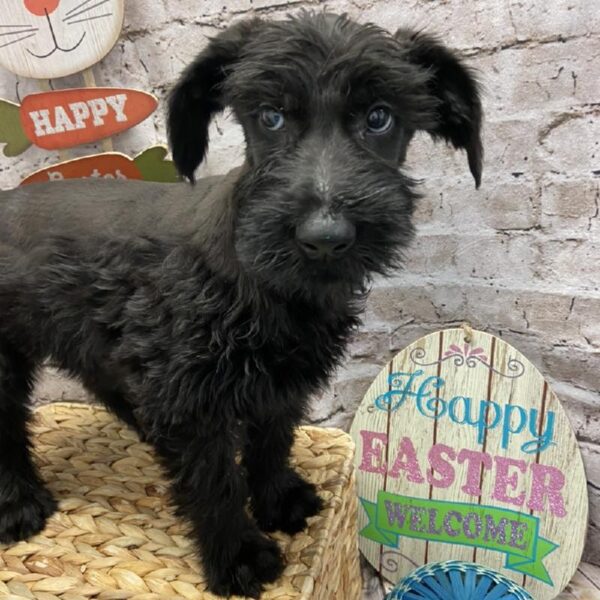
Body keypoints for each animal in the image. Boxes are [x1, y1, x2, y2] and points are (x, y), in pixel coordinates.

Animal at [0, 11, 480, 596]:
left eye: (380, 117)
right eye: (269, 117)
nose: (325, 237)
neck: (269, 286)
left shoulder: (283, 380)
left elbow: (271, 440)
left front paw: (278, 499)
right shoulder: (188, 399)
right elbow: (213, 482)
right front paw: (238, 554)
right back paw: (18, 506)